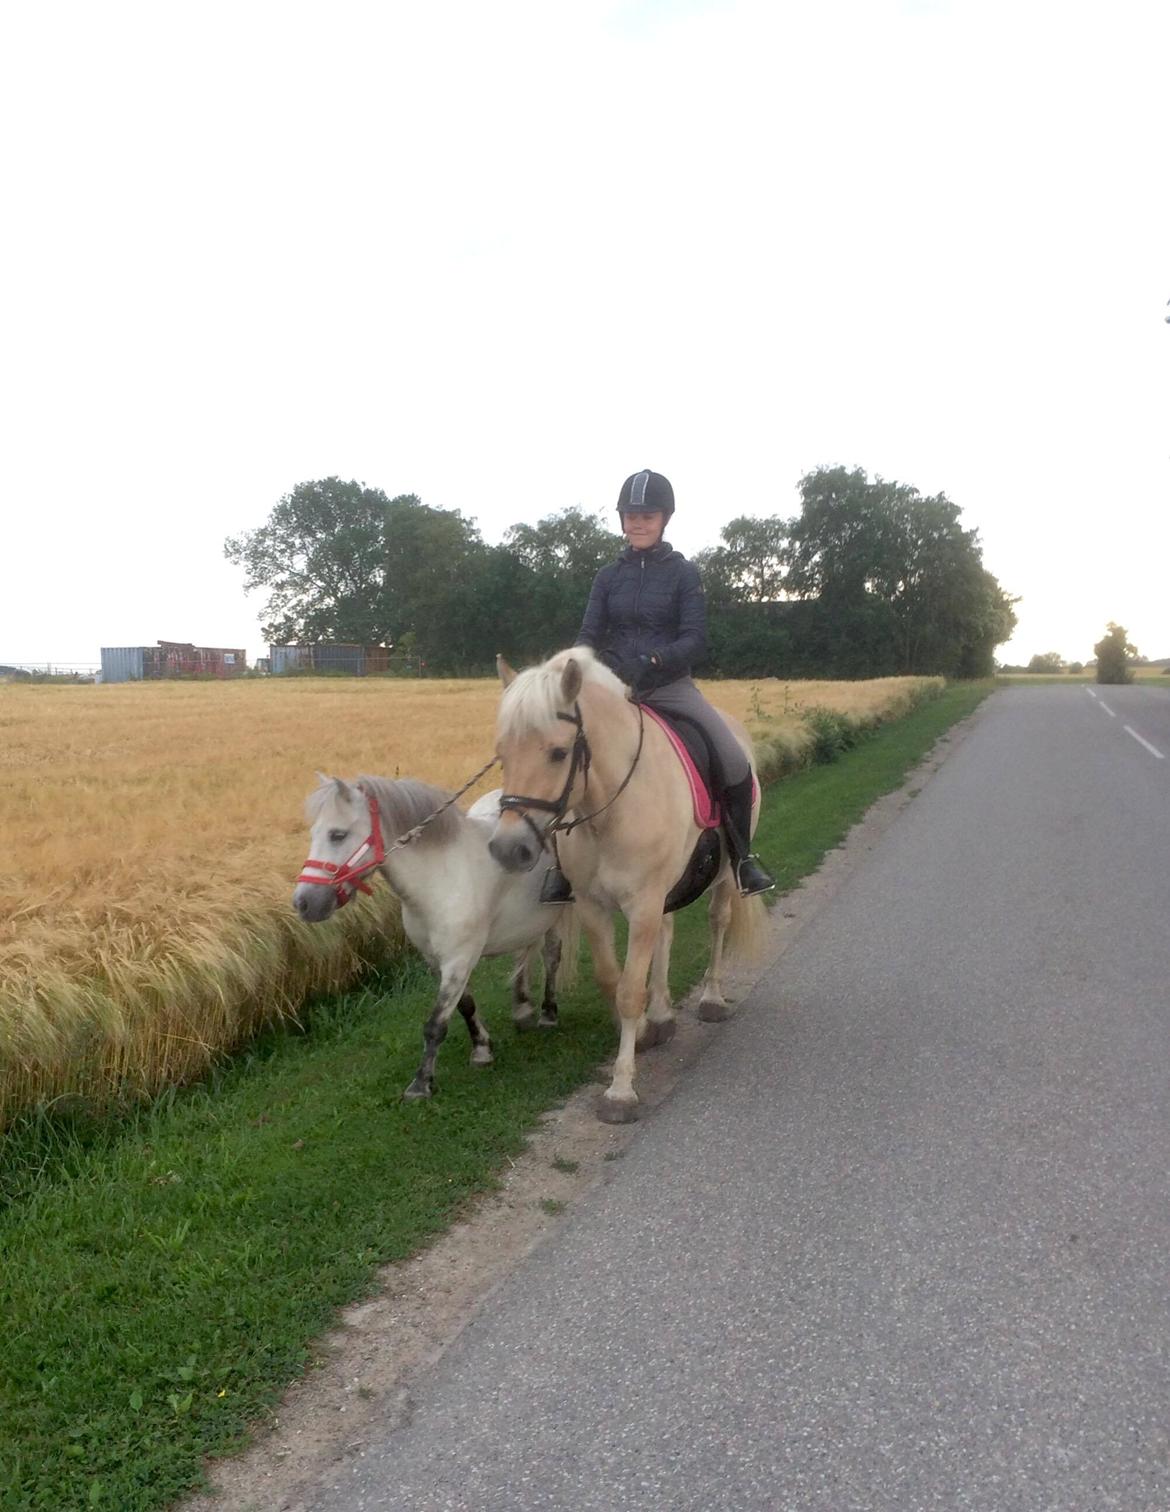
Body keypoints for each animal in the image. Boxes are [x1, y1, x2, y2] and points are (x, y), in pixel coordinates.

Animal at [293, 780, 577, 1100]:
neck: (440, 879)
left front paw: (421, 1083)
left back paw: (547, 1013)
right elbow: (465, 1007)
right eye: (314, 833)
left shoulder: (457, 962)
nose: (303, 903)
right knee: (523, 955)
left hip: (554, 917)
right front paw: (482, 1049)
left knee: (551, 957)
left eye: (337, 834)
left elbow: (435, 1025)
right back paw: (522, 1008)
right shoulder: (437, 961)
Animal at [489, 650, 764, 1124]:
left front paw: (620, 1091)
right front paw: (641, 1036)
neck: (609, 810)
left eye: (559, 752)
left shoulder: (644, 904)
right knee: (667, 934)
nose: (509, 849)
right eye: (502, 755)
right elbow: (610, 980)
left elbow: (630, 990)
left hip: (726, 877)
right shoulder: (593, 906)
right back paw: (663, 1014)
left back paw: (711, 999)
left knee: (718, 922)